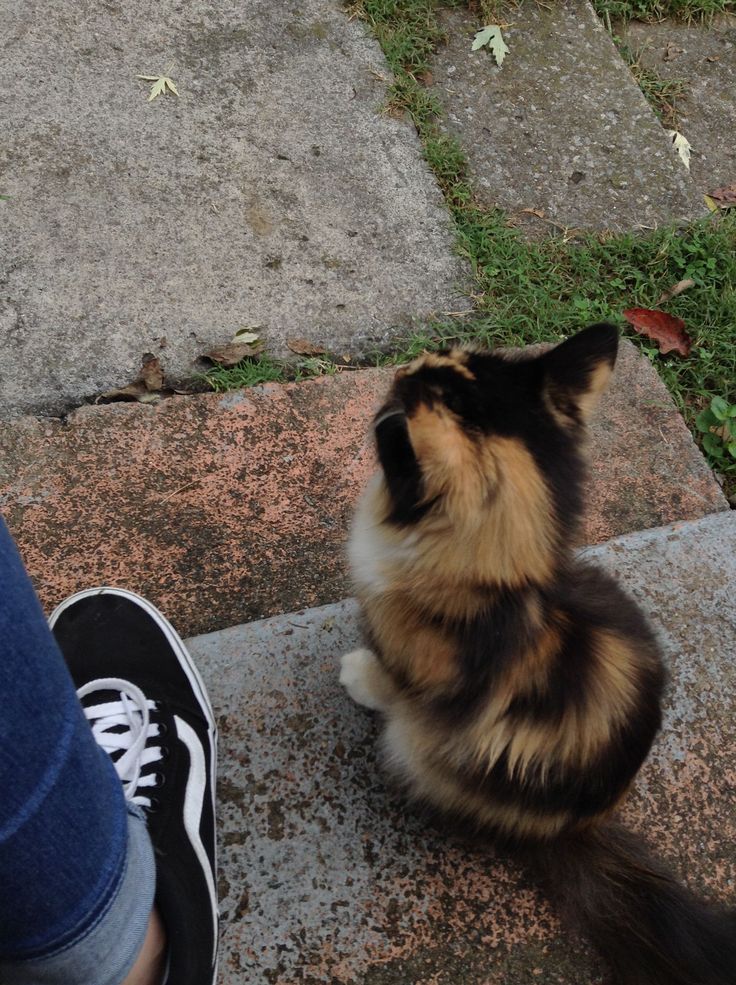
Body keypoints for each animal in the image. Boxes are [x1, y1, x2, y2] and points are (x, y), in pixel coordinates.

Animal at [340, 324, 736, 984]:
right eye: (447, 361)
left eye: (440, 394)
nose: (407, 367)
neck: (501, 584)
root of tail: (583, 825)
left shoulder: (418, 675)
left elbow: (390, 681)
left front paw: (358, 675)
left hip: (420, 755)